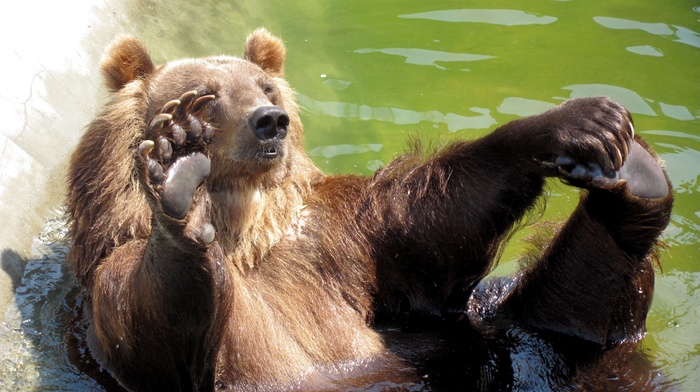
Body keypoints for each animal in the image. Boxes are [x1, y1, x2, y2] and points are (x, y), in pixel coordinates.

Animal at [65, 29, 672, 390]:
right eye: (207, 95)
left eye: (266, 87)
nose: (269, 121)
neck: (248, 229)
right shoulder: (115, 288)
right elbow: (148, 316)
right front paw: (178, 175)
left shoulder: (340, 239)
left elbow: (428, 225)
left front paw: (577, 121)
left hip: (491, 336)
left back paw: (634, 180)